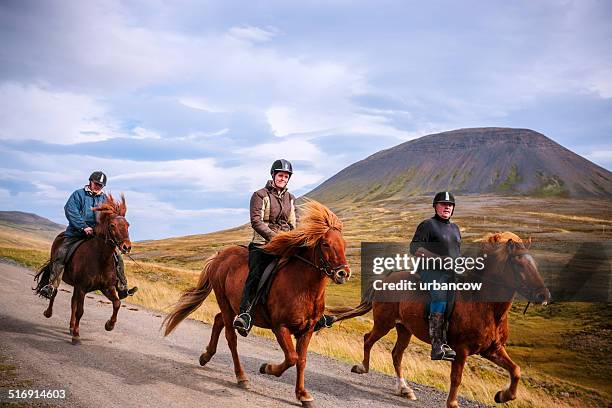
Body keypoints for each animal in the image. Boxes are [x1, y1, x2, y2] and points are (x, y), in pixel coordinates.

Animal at [34, 194, 132, 344]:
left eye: (127, 225)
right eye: (112, 225)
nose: (127, 247)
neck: (100, 259)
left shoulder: (107, 287)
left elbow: (117, 303)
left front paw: (109, 325)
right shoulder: (82, 287)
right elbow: (80, 311)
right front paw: (76, 336)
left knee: (72, 303)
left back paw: (71, 326)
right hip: (60, 274)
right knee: (54, 291)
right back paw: (49, 313)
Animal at [163, 201, 352, 408]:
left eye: (344, 244)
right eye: (326, 244)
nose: (343, 273)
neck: (303, 287)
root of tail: (220, 255)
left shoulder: (307, 330)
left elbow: (301, 360)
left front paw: (303, 395)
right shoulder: (280, 327)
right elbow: (292, 358)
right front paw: (266, 368)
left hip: (232, 307)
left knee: (218, 320)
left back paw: (206, 356)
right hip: (225, 302)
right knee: (231, 338)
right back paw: (241, 377)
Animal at [330, 233, 548, 408]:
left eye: (536, 265)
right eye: (519, 264)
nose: (543, 295)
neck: (485, 305)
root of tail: (386, 278)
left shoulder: (492, 349)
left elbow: (516, 370)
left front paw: (503, 396)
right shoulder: (461, 349)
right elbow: (456, 378)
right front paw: (452, 404)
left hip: (404, 329)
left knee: (396, 354)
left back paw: (404, 389)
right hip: (385, 323)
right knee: (368, 339)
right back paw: (362, 368)